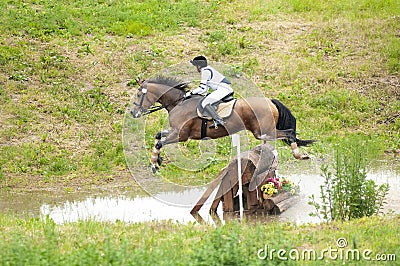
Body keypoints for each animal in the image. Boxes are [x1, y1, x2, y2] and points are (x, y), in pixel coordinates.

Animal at [130, 77, 314, 172]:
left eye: (139, 95)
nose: (133, 113)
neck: (178, 102)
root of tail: (269, 101)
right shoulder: (175, 131)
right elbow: (158, 136)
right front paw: (158, 160)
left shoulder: (181, 135)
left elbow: (160, 143)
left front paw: (154, 164)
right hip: (263, 132)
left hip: (262, 131)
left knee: (289, 133)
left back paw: (300, 155)